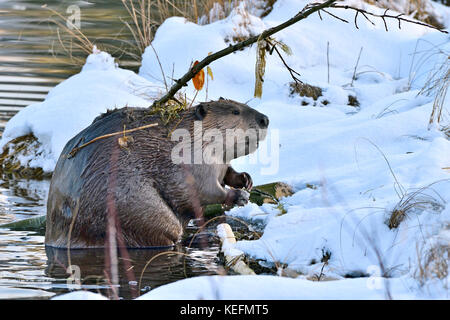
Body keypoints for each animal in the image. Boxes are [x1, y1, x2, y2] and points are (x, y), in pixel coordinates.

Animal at [44, 99, 270, 249]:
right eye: (235, 111)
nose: (265, 119)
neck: (190, 137)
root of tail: (53, 240)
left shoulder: (219, 162)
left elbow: (226, 173)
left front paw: (245, 179)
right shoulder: (191, 162)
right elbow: (201, 191)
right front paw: (239, 195)